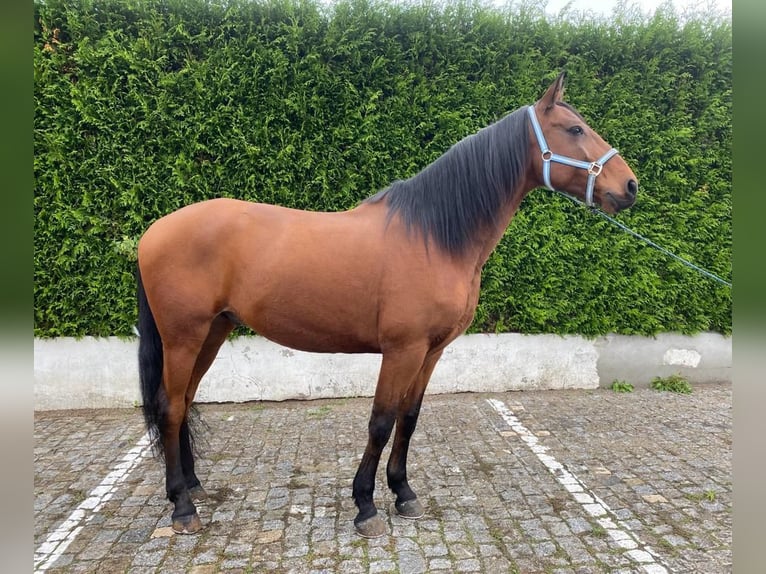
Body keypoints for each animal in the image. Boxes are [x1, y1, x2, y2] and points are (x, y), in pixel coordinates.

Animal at [136, 73, 636, 540]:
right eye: (574, 128)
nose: (629, 186)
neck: (434, 237)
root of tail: (153, 232)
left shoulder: (431, 352)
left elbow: (408, 420)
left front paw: (403, 492)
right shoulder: (402, 349)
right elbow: (381, 421)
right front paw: (366, 506)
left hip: (212, 332)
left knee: (185, 400)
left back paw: (193, 487)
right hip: (184, 336)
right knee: (170, 406)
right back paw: (182, 508)